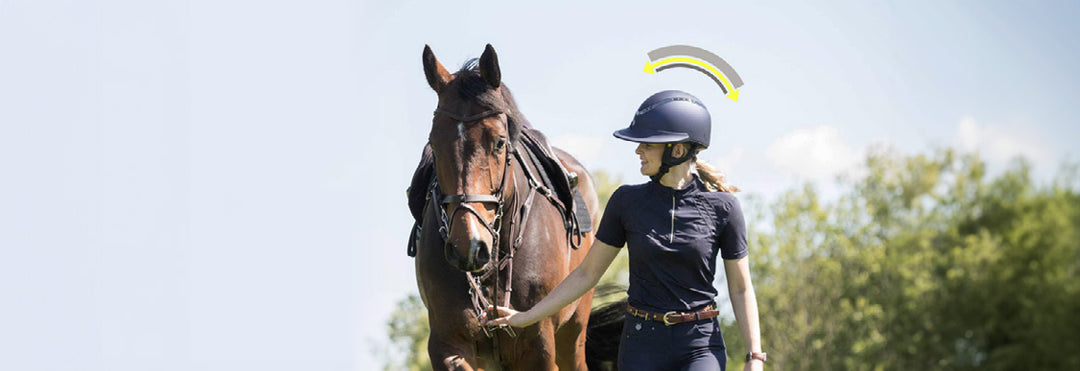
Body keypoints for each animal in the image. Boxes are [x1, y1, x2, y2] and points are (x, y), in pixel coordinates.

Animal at [412, 45, 617, 368]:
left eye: (499, 142)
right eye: (434, 142)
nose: (468, 246)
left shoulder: (539, 344)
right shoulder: (448, 343)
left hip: (572, 333)